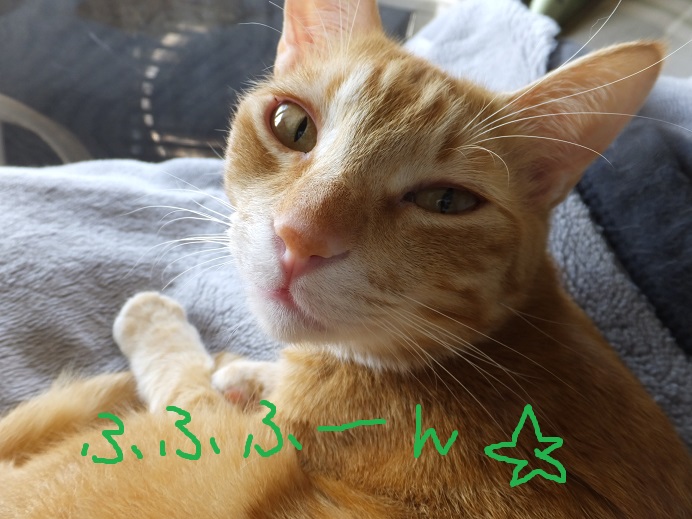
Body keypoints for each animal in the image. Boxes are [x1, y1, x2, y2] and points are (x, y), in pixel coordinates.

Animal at [1, 0, 691, 517]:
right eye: (292, 125)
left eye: (446, 201)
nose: (299, 236)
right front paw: (250, 373)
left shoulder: (206, 429)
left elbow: (184, 382)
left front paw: (164, 327)